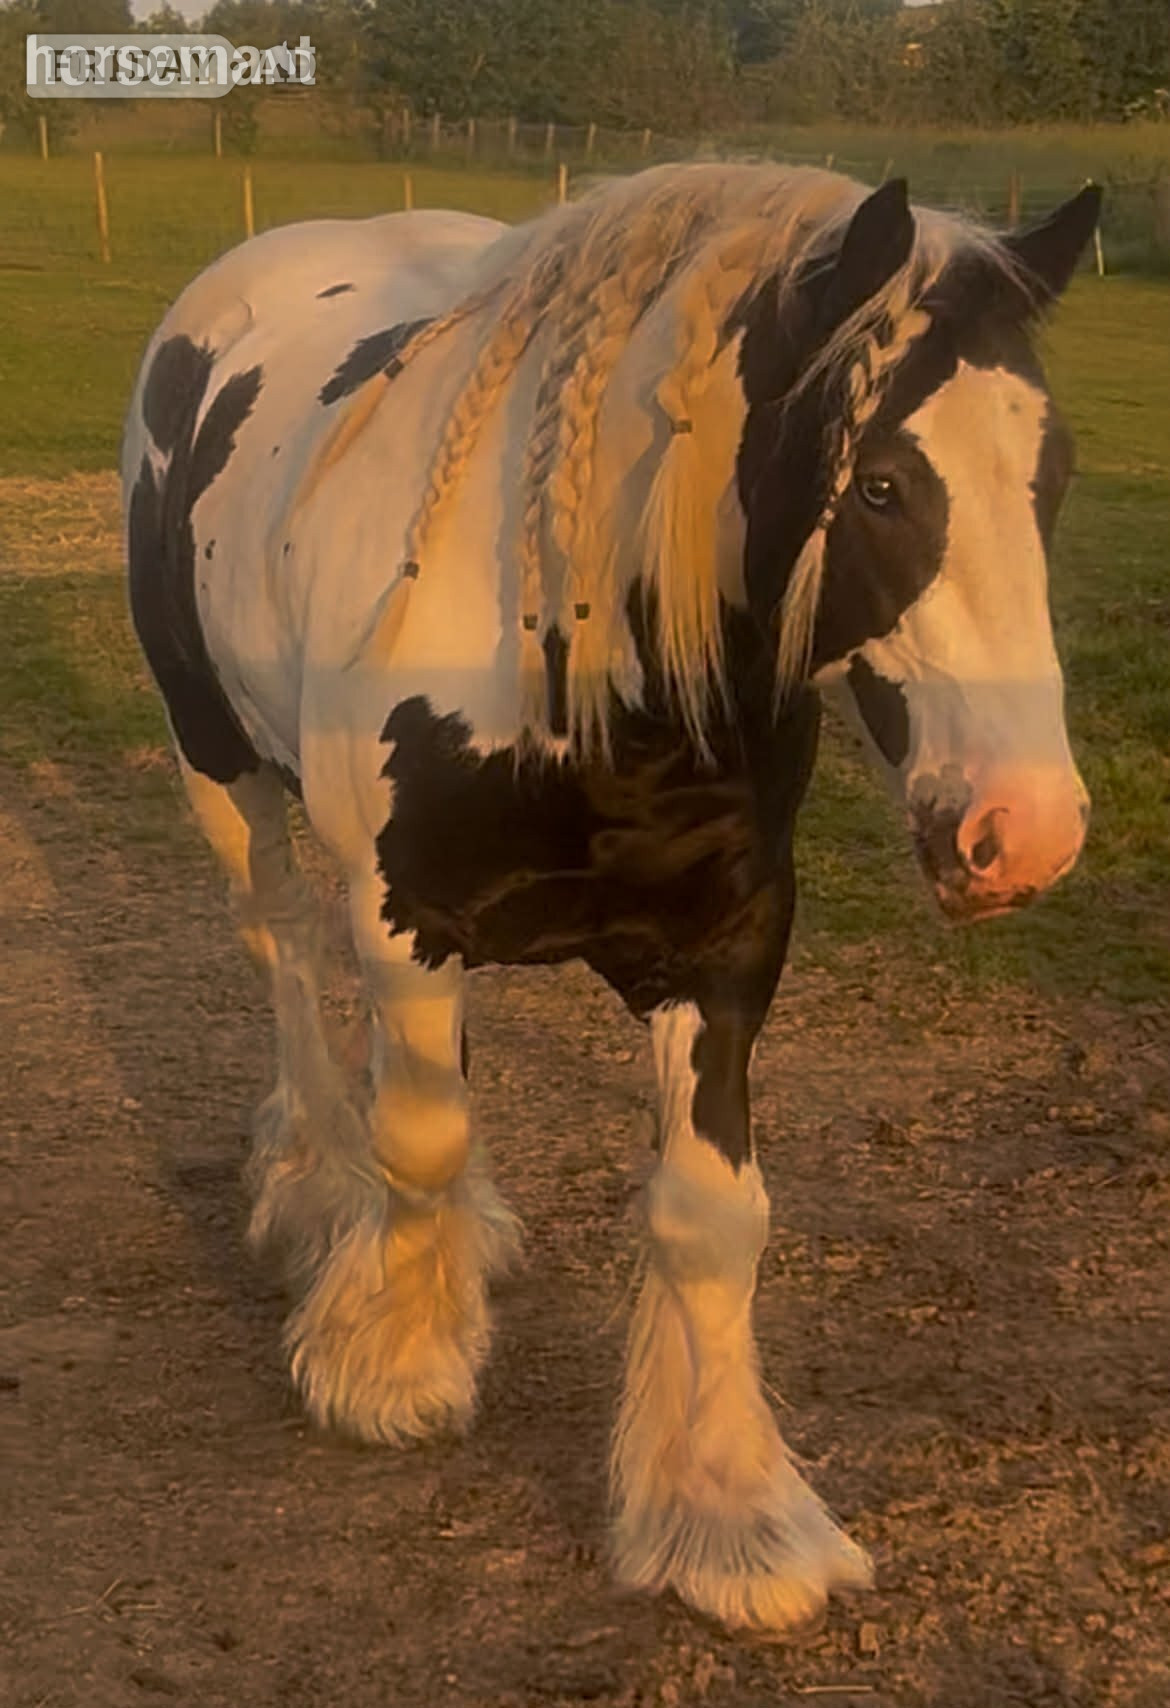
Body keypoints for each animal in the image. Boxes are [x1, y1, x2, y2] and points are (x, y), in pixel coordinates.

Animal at [122, 163, 1100, 1634]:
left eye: (1052, 473)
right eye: (878, 483)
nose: (1024, 832)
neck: (571, 652)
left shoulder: (728, 949)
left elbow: (709, 1218)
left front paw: (727, 1514)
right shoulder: (404, 923)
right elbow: (419, 1140)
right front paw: (391, 1364)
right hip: (219, 771)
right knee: (287, 959)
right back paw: (313, 1187)